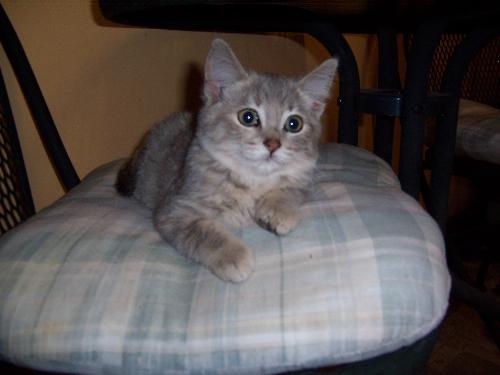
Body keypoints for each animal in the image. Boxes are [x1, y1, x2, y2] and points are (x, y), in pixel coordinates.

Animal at [115, 39, 338, 284]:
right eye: (248, 117)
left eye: (294, 124)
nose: (272, 144)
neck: (252, 181)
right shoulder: (174, 210)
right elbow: (202, 231)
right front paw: (233, 255)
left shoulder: (302, 181)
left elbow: (289, 191)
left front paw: (277, 210)